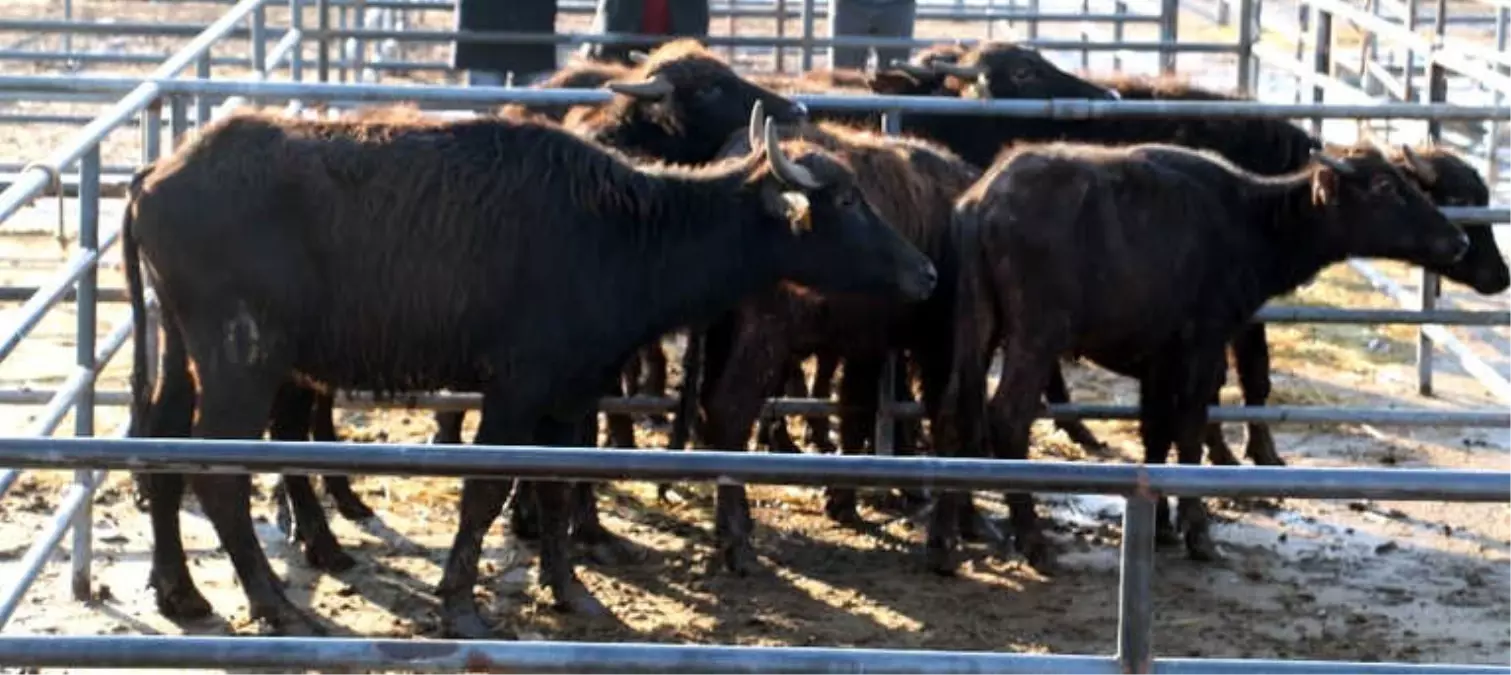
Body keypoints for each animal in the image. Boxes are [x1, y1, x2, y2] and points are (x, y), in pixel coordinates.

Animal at [126, 105, 930, 640]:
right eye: (848, 199)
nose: (924, 271)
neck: (620, 228)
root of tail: (157, 175)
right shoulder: (515, 388)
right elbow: (486, 490)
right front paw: (459, 602)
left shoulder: (570, 395)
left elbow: (553, 486)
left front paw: (572, 591)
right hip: (245, 362)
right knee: (217, 475)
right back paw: (275, 603)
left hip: (185, 354)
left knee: (160, 451)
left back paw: (182, 590)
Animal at [936, 140, 1468, 573]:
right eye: (1385, 186)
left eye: (1408, 182)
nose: (1458, 240)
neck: (1251, 224)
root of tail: (984, 200)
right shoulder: (1203, 347)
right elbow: (1190, 430)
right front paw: (1197, 531)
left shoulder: (1158, 361)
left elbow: (1155, 432)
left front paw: (1160, 524)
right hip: (1037, 336)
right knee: (1007, 416)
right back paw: (1032, 541)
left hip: (977, 325)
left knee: (957, 409)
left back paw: (950, 536)